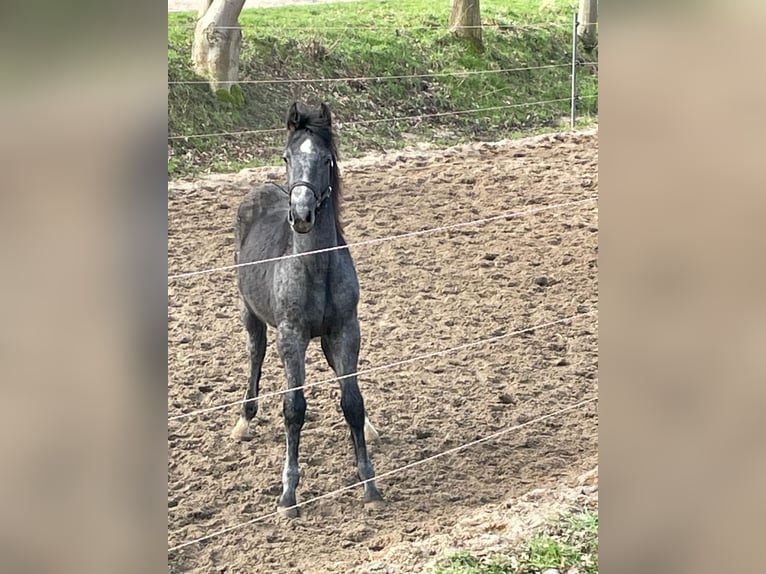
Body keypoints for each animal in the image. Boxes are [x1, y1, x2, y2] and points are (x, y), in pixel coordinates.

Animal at [228, 102, 384, 516]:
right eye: (287, 156)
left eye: (326, 159)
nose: (300, 215)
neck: (315, 267)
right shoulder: (291, 335)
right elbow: (293, 408)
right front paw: (288, 495)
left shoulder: (346, 329)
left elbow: (352, 401)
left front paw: (370, 483)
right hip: (250, 314)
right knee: (255, 354)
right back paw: (244, 421)